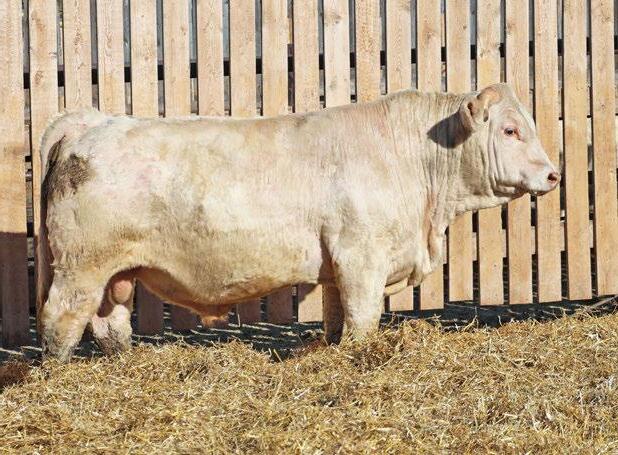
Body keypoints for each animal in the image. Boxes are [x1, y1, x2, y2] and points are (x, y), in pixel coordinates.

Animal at [36, 83, 560, 361]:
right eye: (510, 130)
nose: (553, 174)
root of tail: (93, 121)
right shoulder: (361, 258)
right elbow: (363, 319)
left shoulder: (336, 266)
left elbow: (335, 318)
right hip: (81, 265)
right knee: (59, 319)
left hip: (114, 272)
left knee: (109, 323)